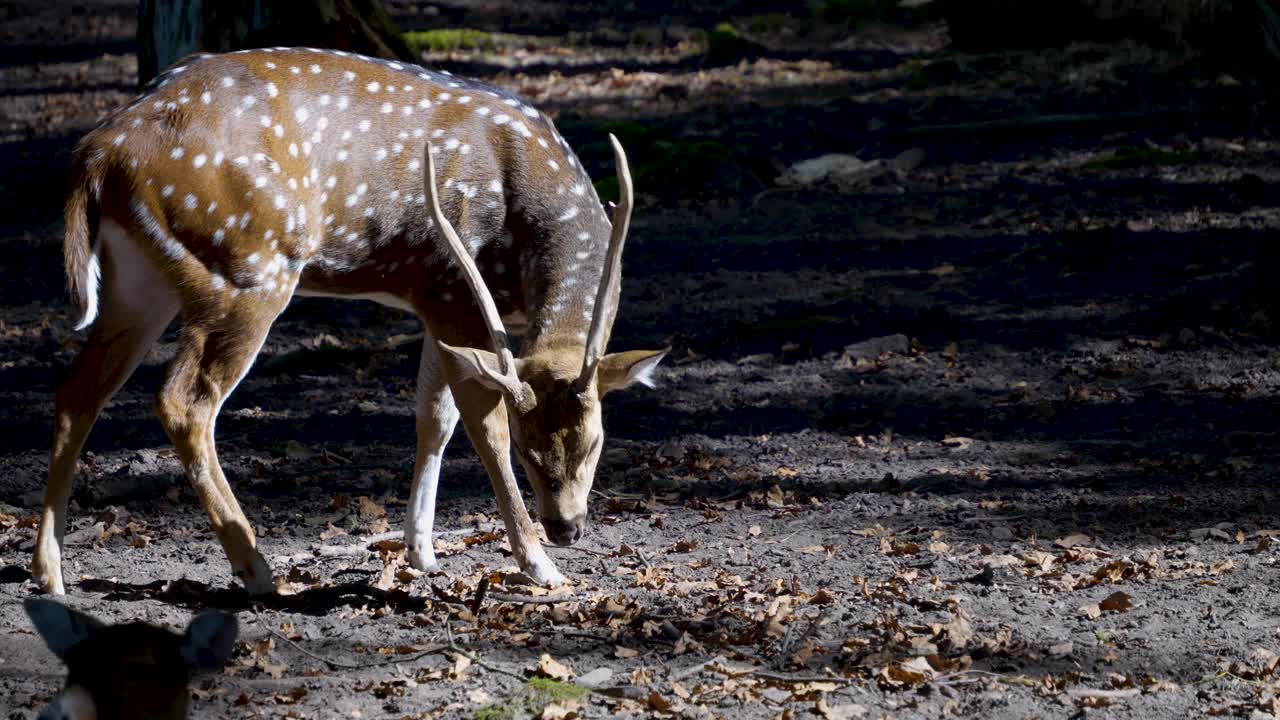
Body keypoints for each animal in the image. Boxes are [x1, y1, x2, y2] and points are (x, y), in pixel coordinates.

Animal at [32, 46, 670, 594]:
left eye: (596, 439)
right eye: (527, 446)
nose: (566, 528)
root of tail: (100, 150)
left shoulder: (435, 300)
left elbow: (432, 418)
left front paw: (421, 550)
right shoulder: (451, 285)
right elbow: (480, 425)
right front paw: (537, 564)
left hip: (139, 280)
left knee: (76, 390)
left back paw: (50, 573)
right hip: (245, 268)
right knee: (183, 401)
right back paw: (257, 569)